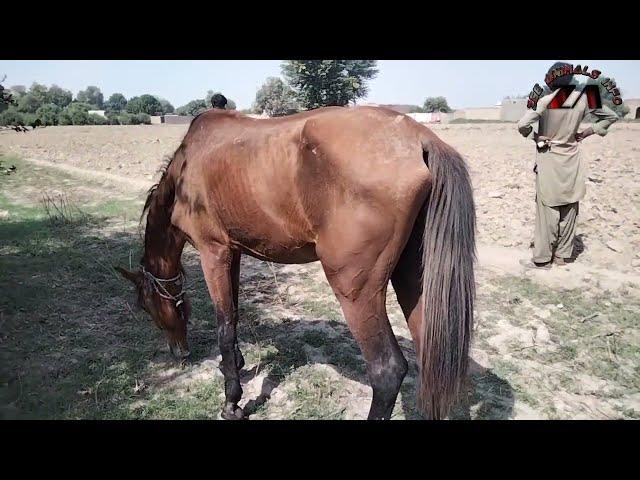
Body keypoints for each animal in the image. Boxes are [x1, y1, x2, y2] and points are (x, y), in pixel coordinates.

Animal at [116, 106, 476, 420]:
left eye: (147, 306)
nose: (179, 353)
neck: (185, 170)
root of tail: (420, 138)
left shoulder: (213, 252)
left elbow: (224, 324)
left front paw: (232, 402)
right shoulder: (234, 252)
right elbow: (234, 314)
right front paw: (236, 365)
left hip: (355, 291)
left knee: (387, 371)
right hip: (414, 283)